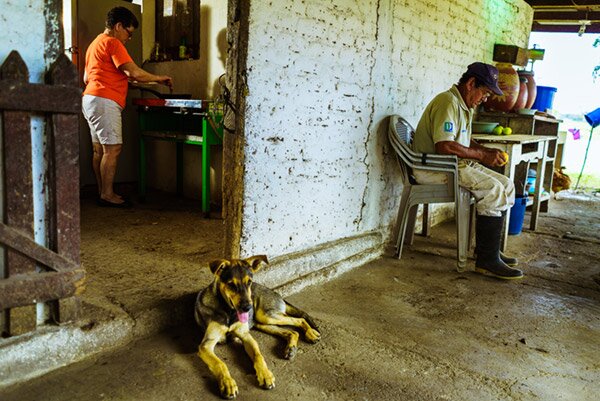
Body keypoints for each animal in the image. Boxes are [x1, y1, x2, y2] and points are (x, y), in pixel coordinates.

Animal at [195, 255, 322, 398]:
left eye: (249, 282)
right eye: (231, 284)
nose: (248, 308)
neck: (229, 312)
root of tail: (277, 294)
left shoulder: (246, 336)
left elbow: (258, 355)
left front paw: (265, 375)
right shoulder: (206, 344)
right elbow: (220, 363)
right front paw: (227, 383)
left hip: (266, 316)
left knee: (300, 320)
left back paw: (311, 334)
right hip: (263, 322)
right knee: (292, 332)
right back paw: (291, 348)